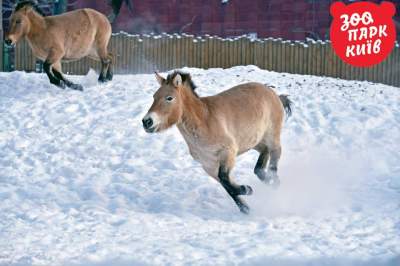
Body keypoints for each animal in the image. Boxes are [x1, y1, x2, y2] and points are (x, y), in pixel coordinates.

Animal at [142, 71, 292, 214]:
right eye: (154, 97)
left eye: (169, 98)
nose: (147, 121)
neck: (204, 121)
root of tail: (274, 94)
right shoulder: (209, 166)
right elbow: (227, 186)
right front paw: (245, 206)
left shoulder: (228, 152)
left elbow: (225, 178)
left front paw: (246, 189)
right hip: (254, 141)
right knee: (263, 158)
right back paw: (267, 179)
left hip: (271, 137)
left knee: (275, 154)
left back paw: (275, 182)